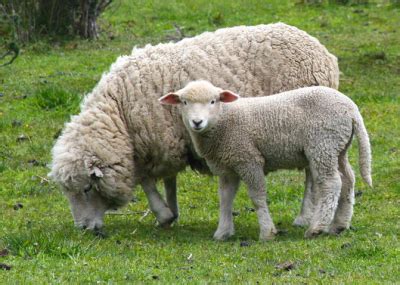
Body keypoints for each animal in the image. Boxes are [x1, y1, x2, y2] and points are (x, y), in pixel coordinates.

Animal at [48, 22, 340, 231]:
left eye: (87, 188)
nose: (83, 228)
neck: (119, 111)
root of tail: (323, 53)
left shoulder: (155, 142)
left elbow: (145, 180)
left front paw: (163, 214)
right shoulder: (166, 143)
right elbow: (168, 180)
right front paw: (172, 211)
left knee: (312, 175)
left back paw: (304, 217)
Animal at [159, 80, 372, 240]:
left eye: (213, 101)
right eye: (184, 102)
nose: (197, 122)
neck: (224, 121)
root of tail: (351, 109)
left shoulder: (248, 159)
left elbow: (257, 196)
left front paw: (267, 232)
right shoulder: (227, 167)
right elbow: (225, 198)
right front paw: (223, 232)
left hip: (322, 144)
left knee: (331, 183)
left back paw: (317, 228)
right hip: (338, 147)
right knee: (348, 180)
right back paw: (339, 225)